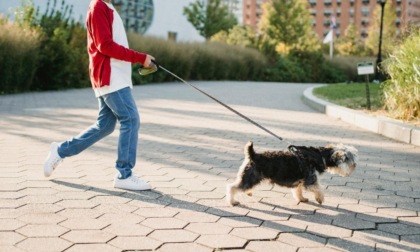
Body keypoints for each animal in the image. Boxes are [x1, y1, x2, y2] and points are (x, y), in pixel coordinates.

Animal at [226, 141, 358, 206]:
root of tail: (252, 155)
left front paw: (302, 199)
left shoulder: (300, 181)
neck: (320, 156)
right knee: (232, 187)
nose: (355, 166)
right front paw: (320, 199)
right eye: (349, 159)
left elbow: (298, 192)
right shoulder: (310, 180)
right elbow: (319, 189)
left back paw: (248, 192)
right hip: (251, 177)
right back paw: (232, 202)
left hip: (251, 178)